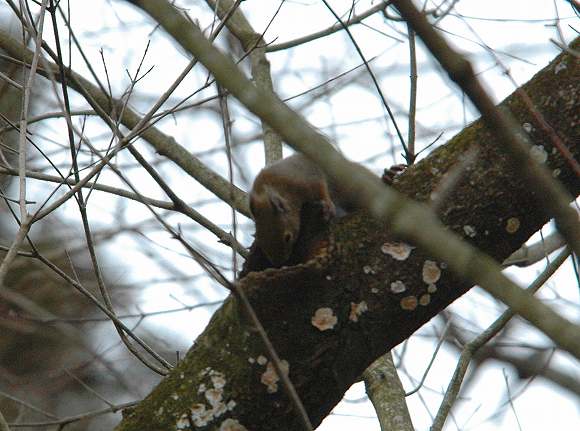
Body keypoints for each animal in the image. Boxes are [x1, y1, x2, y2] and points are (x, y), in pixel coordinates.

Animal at [248, 154, 404, 268]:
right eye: (260, 239)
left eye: (287, 237)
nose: (279, 263)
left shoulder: (309, 176)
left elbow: (322, 190)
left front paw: (328, 207)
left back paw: (388, 177)